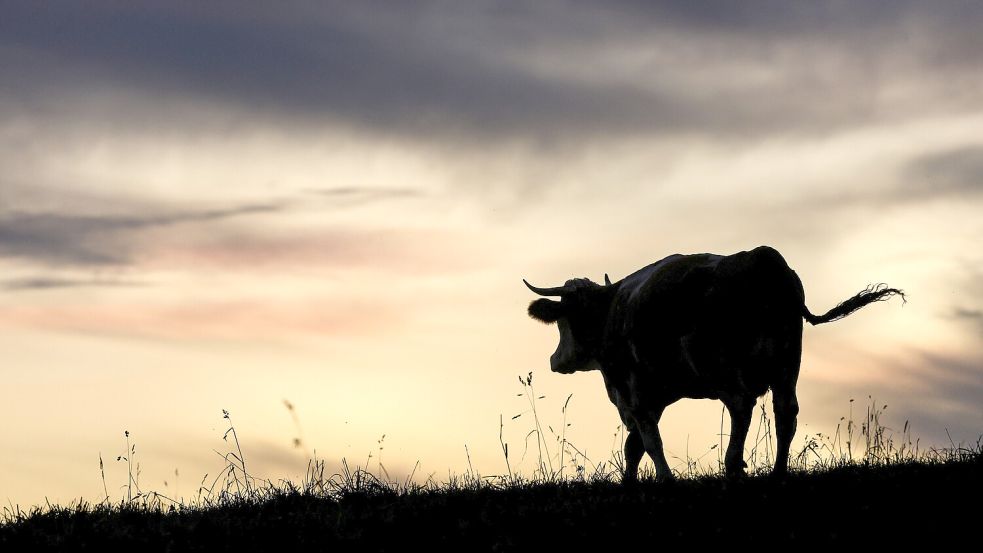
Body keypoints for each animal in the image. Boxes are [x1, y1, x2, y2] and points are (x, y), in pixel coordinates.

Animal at [528, 246, 904, 484]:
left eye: (564, 317)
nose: (555, 360)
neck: (611, 311)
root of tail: (765, 260)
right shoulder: (654, 396)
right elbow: (634, 446)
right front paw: (629, 483)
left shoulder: (634, 391)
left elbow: (648, 442)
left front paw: (665, 479)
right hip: (786, 368)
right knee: (786, 413)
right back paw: (778, 472)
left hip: (724, 369)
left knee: (741, 407)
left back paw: (734, 466)